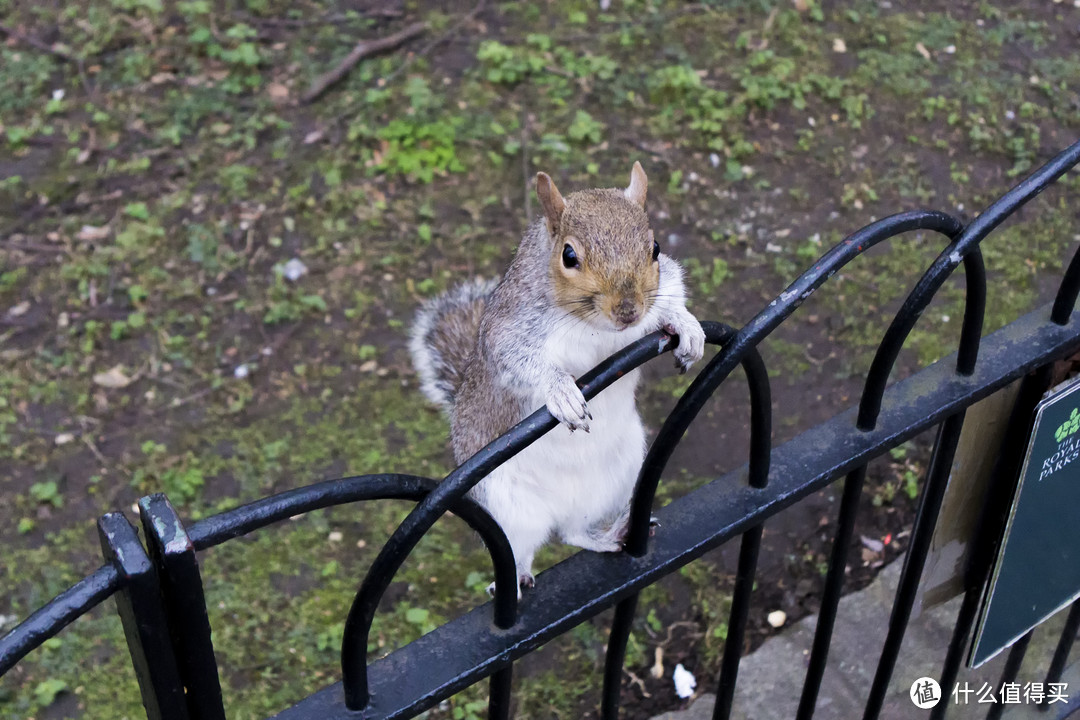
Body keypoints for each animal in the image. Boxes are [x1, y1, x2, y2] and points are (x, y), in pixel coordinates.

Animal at [408, 166, 704, 595]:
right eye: (569, 256)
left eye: (655, 248)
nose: (628, 311)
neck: (593, 325)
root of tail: (562, 507)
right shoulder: (509, 327)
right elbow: (518, 360)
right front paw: (560, 390)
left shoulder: (663, 285)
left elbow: (672, 293)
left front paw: (687, 325)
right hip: (506, 506)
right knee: (520, 549)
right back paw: (515, 578)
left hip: (619, 474)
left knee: (572, 533)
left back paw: (609, 535)